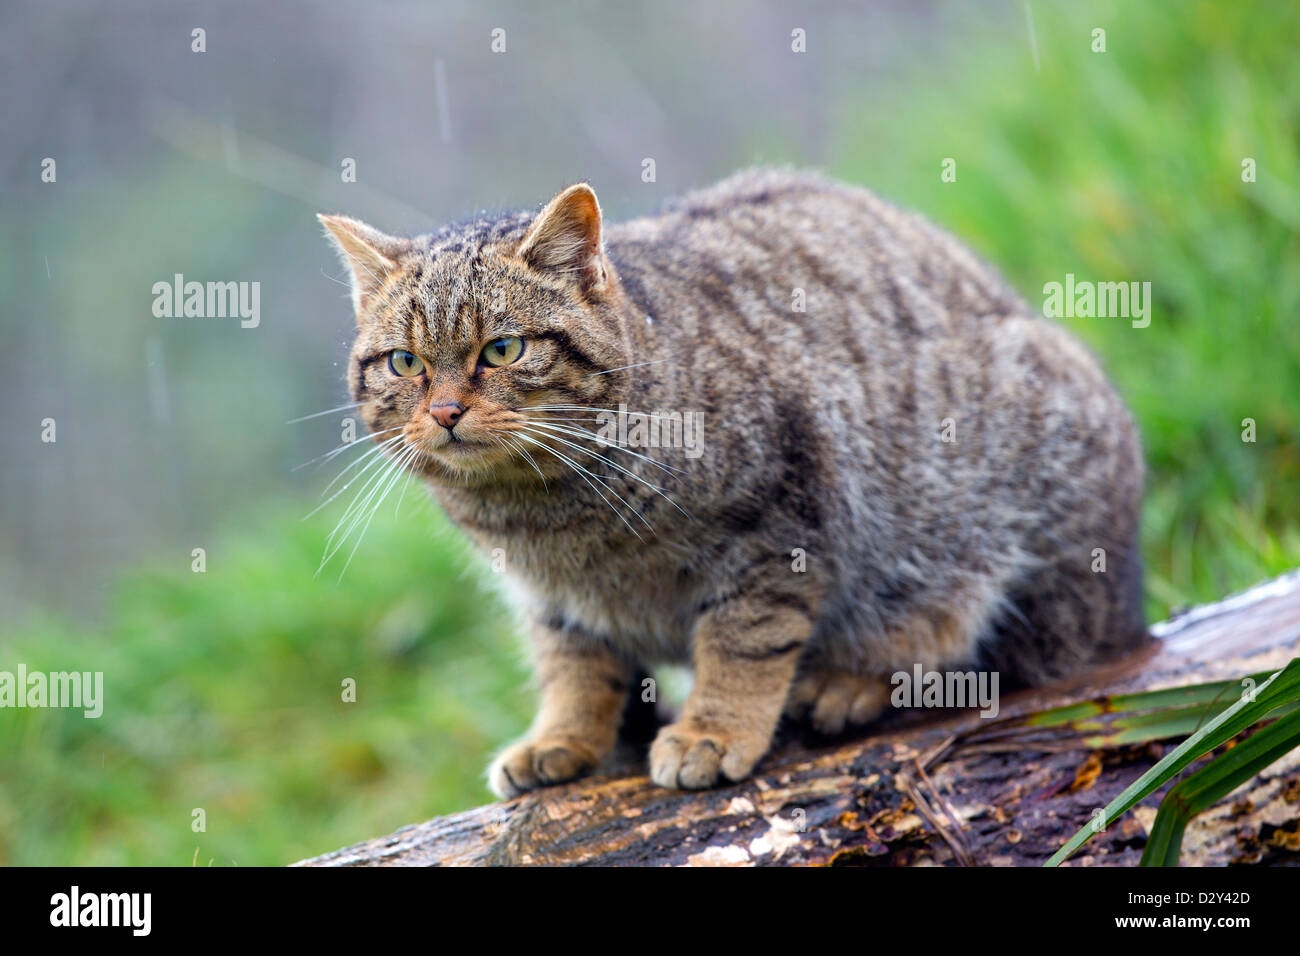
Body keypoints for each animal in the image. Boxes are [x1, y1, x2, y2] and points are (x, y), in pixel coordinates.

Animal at [317, 167, 1149, 796]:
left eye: (502, 349)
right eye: (404, 363)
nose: (445, 411)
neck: (541, 516)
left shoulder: (775, 530)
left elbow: (741, 645)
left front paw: (712, 730)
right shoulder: (549, 601)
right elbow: (571, 668)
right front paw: (562, 737)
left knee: (990, 653)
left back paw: (848, 680)